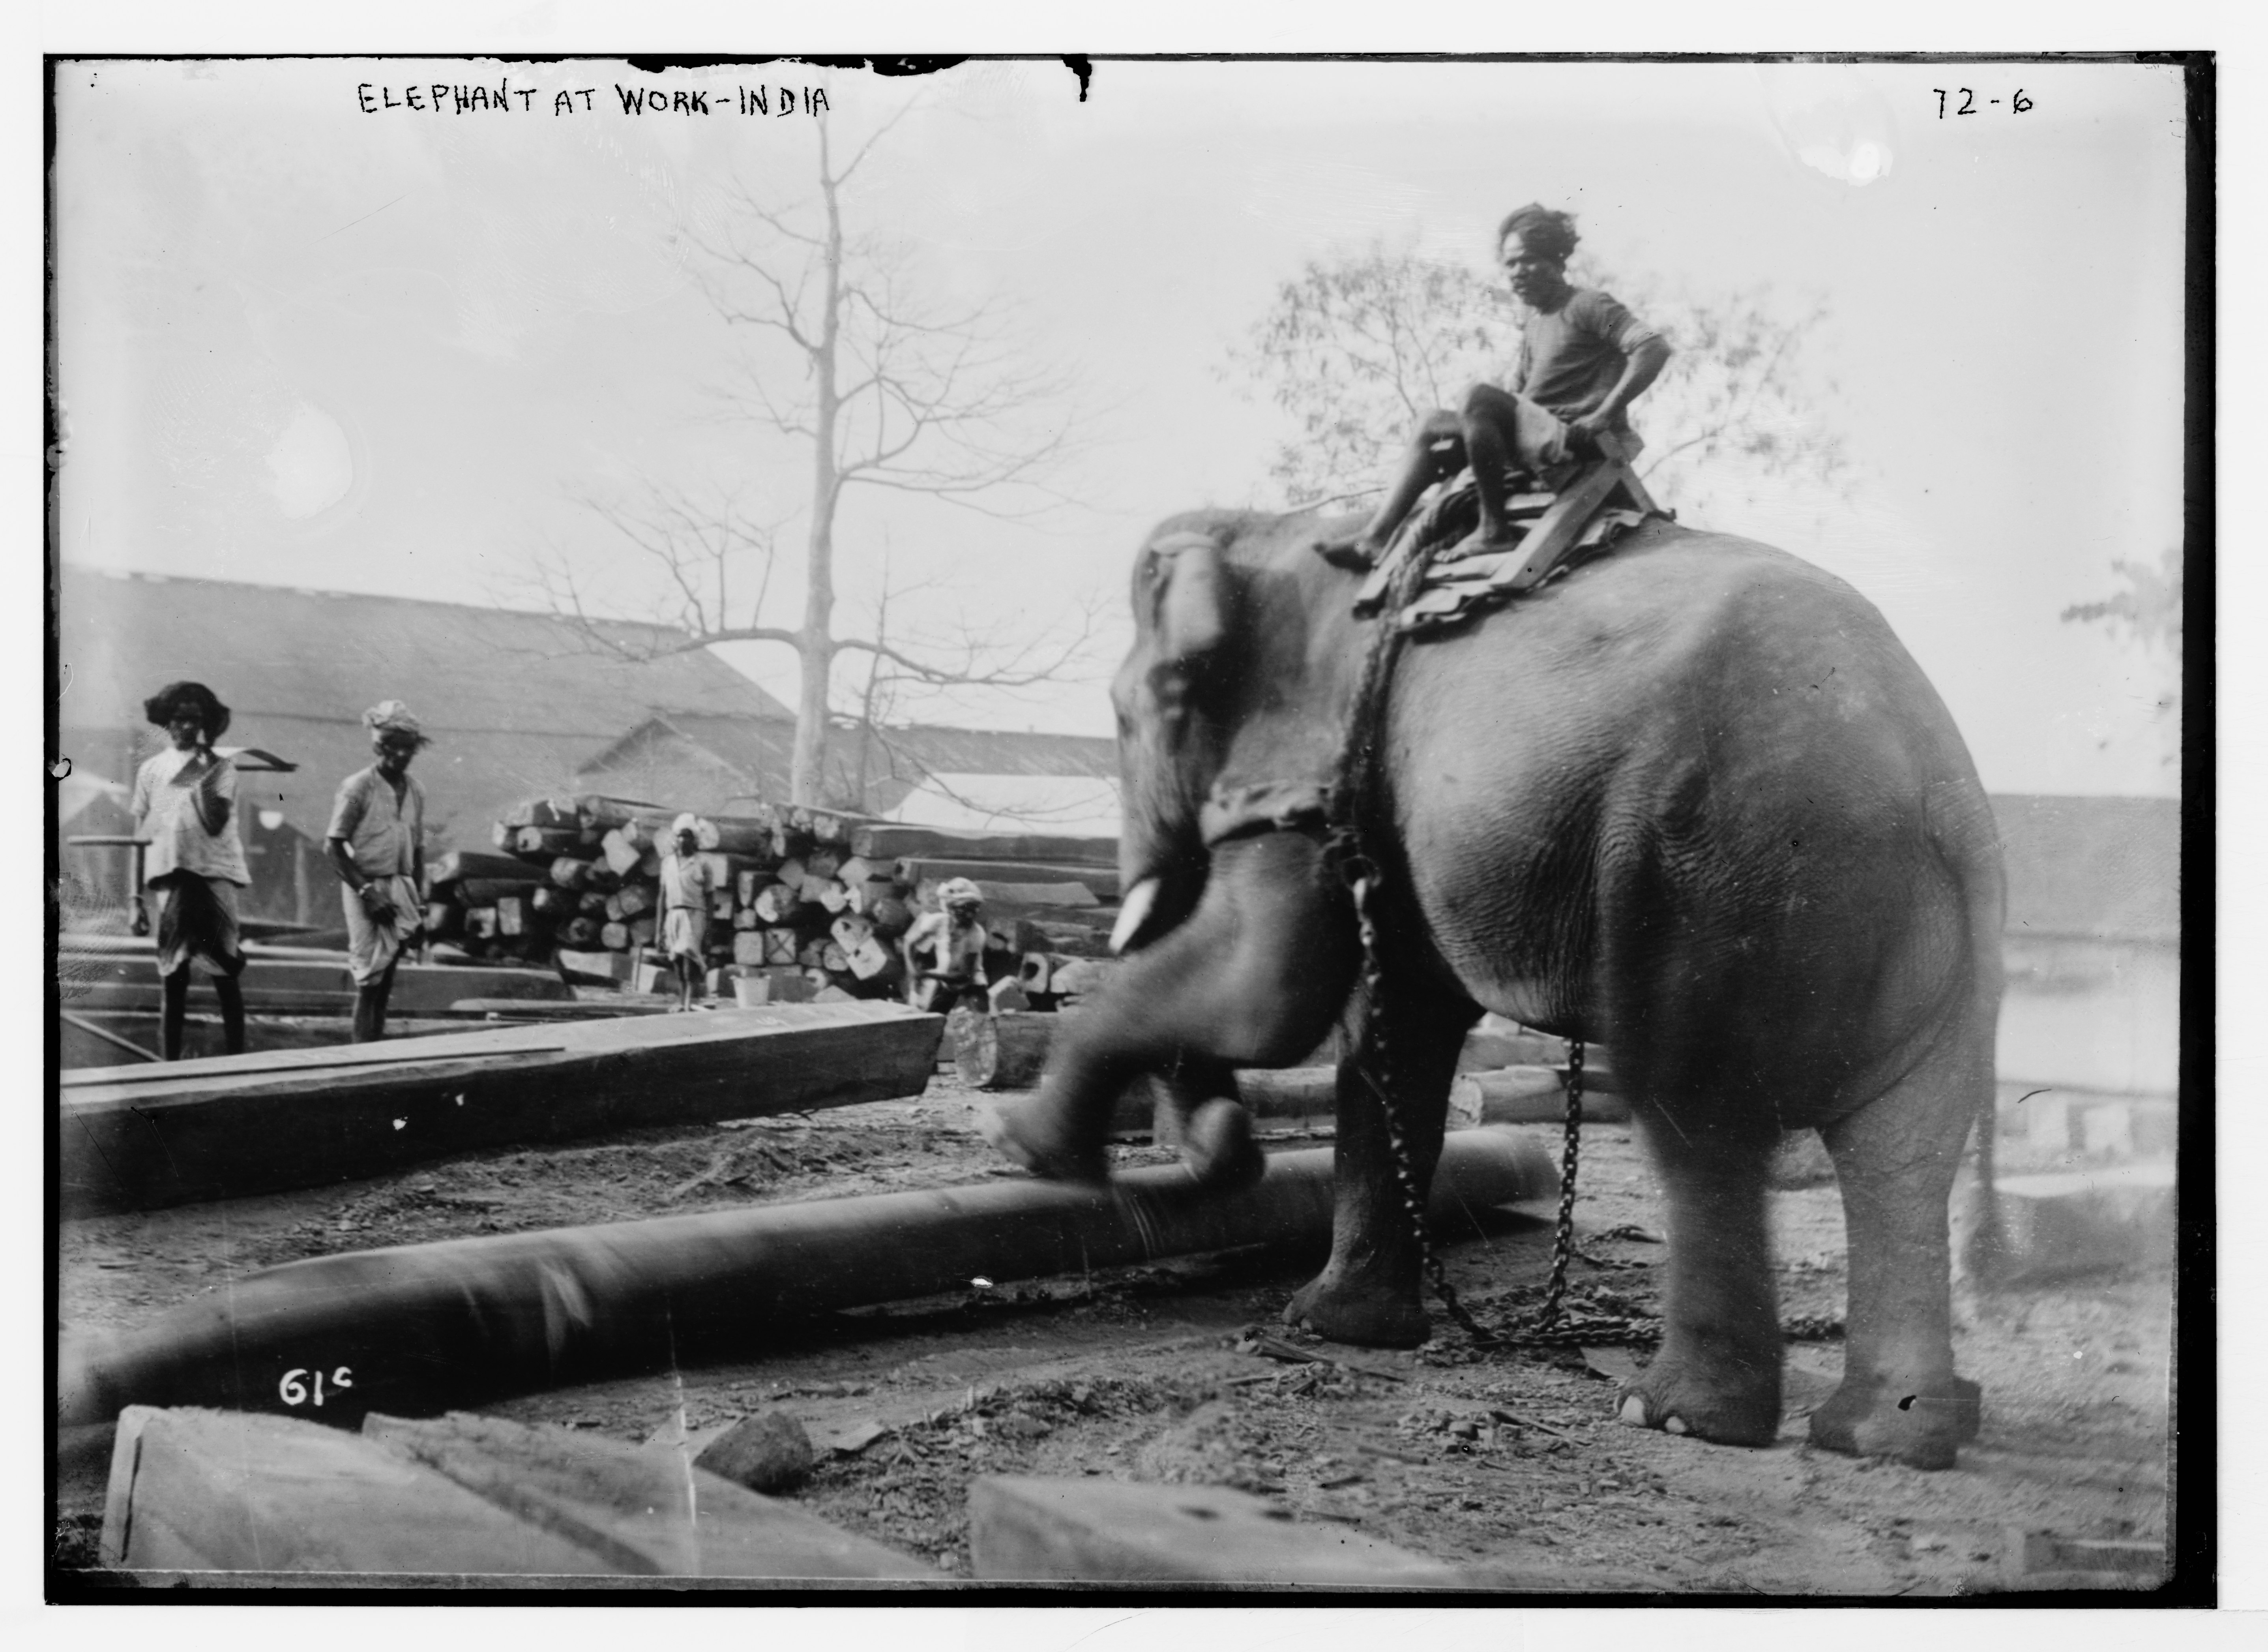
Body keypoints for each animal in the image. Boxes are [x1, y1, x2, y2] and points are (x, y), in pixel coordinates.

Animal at [984, 504, 2014, 1470]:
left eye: (1132, 708)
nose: (1224, 1148)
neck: (1280, 527)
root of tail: (1941, 775)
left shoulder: (1313, 767)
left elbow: (1266, 992)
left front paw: (1029, 1145)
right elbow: (1395, 1025)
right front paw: (1332, 1325)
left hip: (1717, 871)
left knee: (1697, 1117)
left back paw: (1674, 1415)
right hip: (1917, 931)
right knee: (1903, 1149)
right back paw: (1889, 1435)